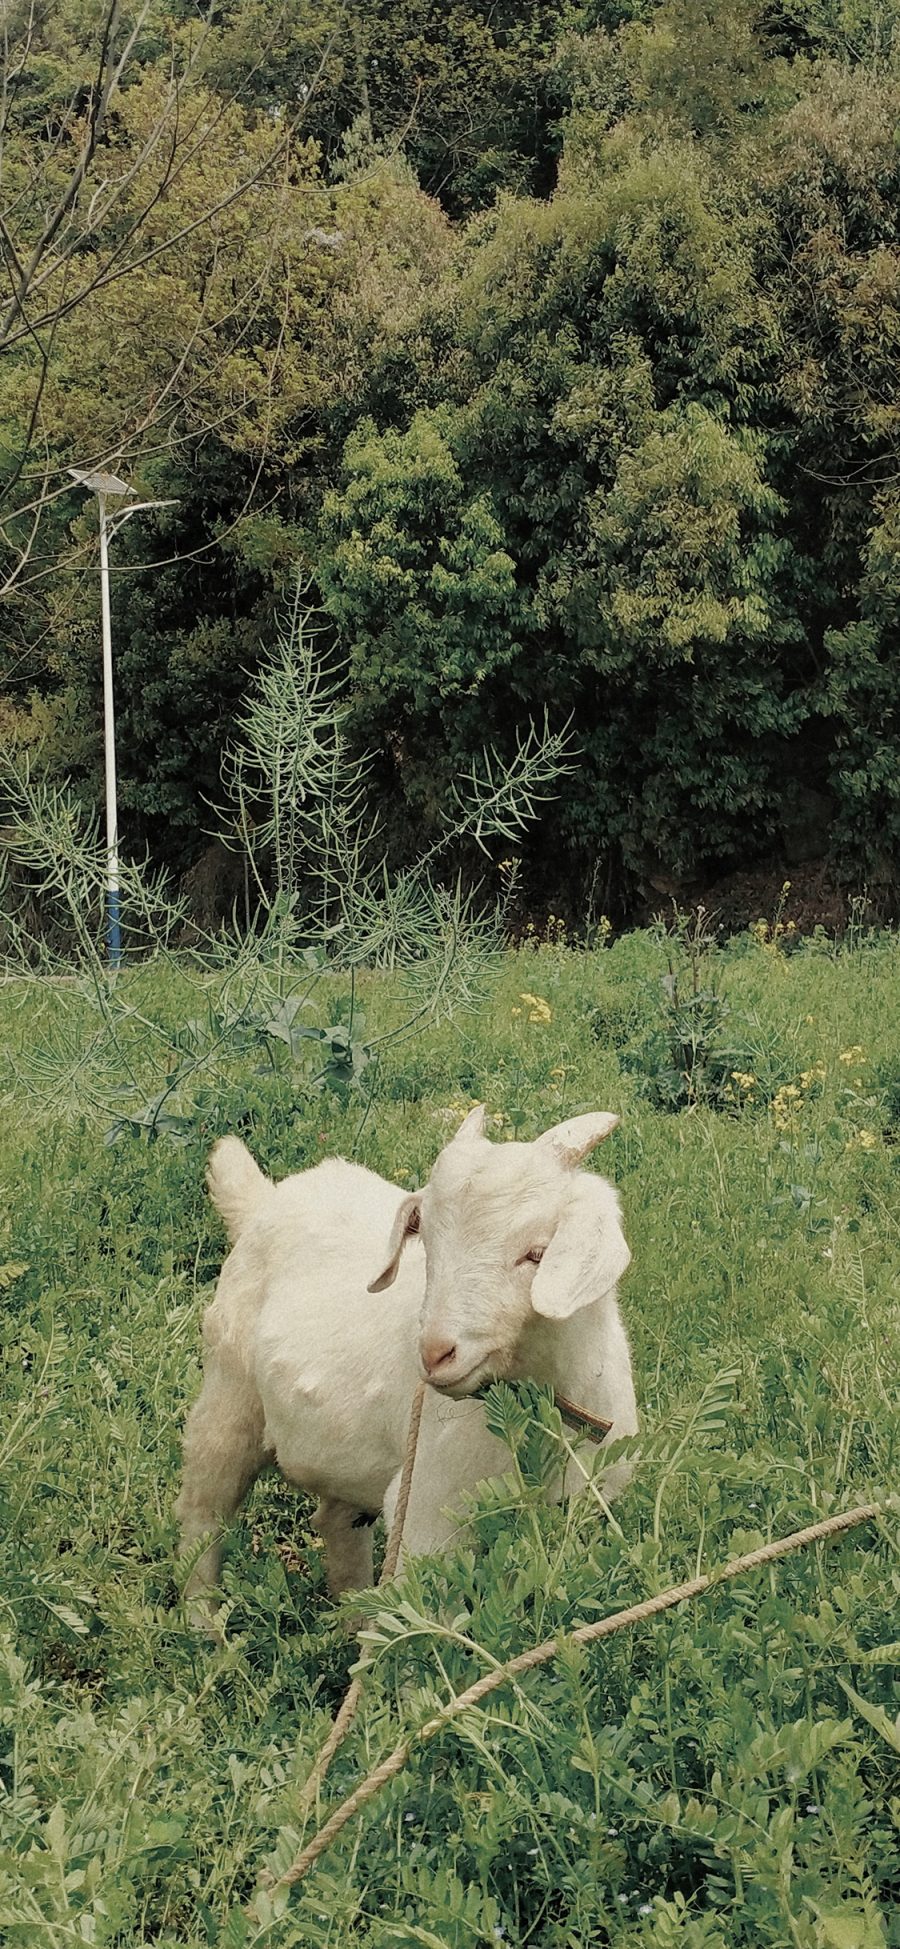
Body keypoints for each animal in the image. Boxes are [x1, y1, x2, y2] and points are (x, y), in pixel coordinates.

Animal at [177, 1107, 638, 1605]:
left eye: (536, 1253)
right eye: (427, 1241)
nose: (435, 1353)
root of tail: (263, 1201)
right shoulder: (429, 1512)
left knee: (337, 1522)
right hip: (228, 1394)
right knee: (203, 1513)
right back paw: (203, 1619)